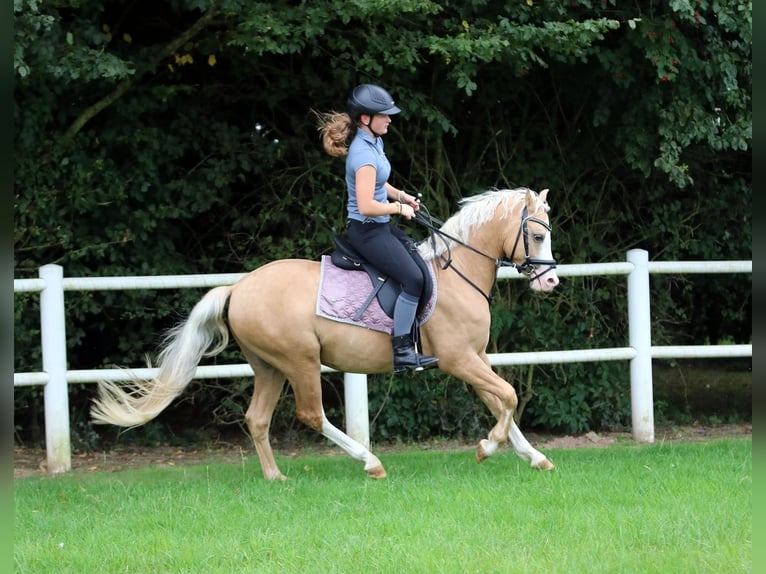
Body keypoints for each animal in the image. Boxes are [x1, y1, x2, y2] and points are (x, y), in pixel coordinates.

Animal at [91, 187, 561, 480]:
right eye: (537, 235)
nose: (551, 282)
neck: (457, 274)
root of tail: (239, 287)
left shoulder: (476, 358)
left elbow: (501, 401)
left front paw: (534, 457)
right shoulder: (459, 360)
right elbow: (509, 396)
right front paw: (487, 447)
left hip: (269, 367)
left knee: (257, 418)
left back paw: (275, 477)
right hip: (300, 362)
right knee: (311, 414)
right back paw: (369, 462)